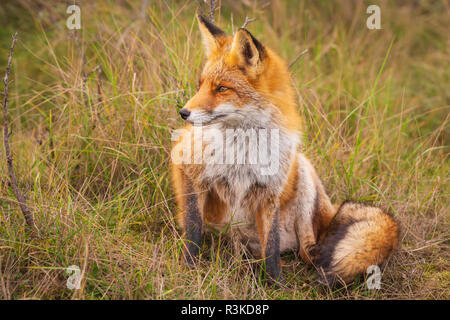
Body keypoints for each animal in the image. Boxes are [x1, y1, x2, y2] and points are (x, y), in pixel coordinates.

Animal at [171, 14, 400, 284]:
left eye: (222, 88)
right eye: (201, 85)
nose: (183, 113)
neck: (242, 149)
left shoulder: (270, 191)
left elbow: (271, 247)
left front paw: (275, 283)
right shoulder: (189, 169)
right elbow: (193, 230)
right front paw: (188, 267)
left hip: (302, 169)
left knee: (305, 250)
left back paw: (313, 259)